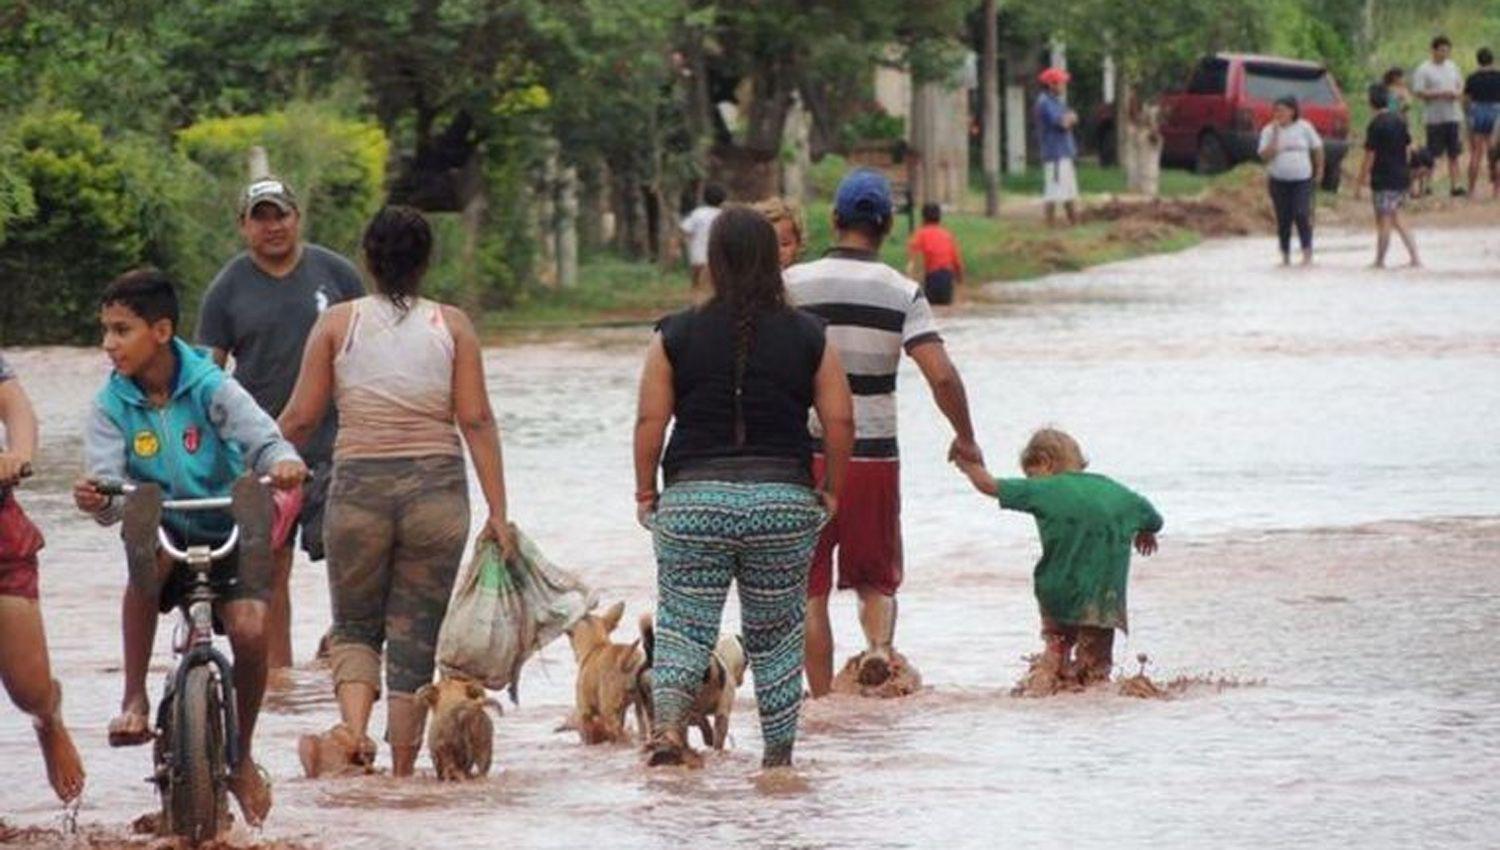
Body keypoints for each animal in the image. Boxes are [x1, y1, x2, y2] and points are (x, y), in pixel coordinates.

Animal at [564, 602, 648, 749]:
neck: (595, 646)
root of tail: (627, 657)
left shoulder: (585, 714)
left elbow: (587, 738)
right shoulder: (622, 711)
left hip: (609, 713)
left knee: (622, 736)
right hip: (643, 706)